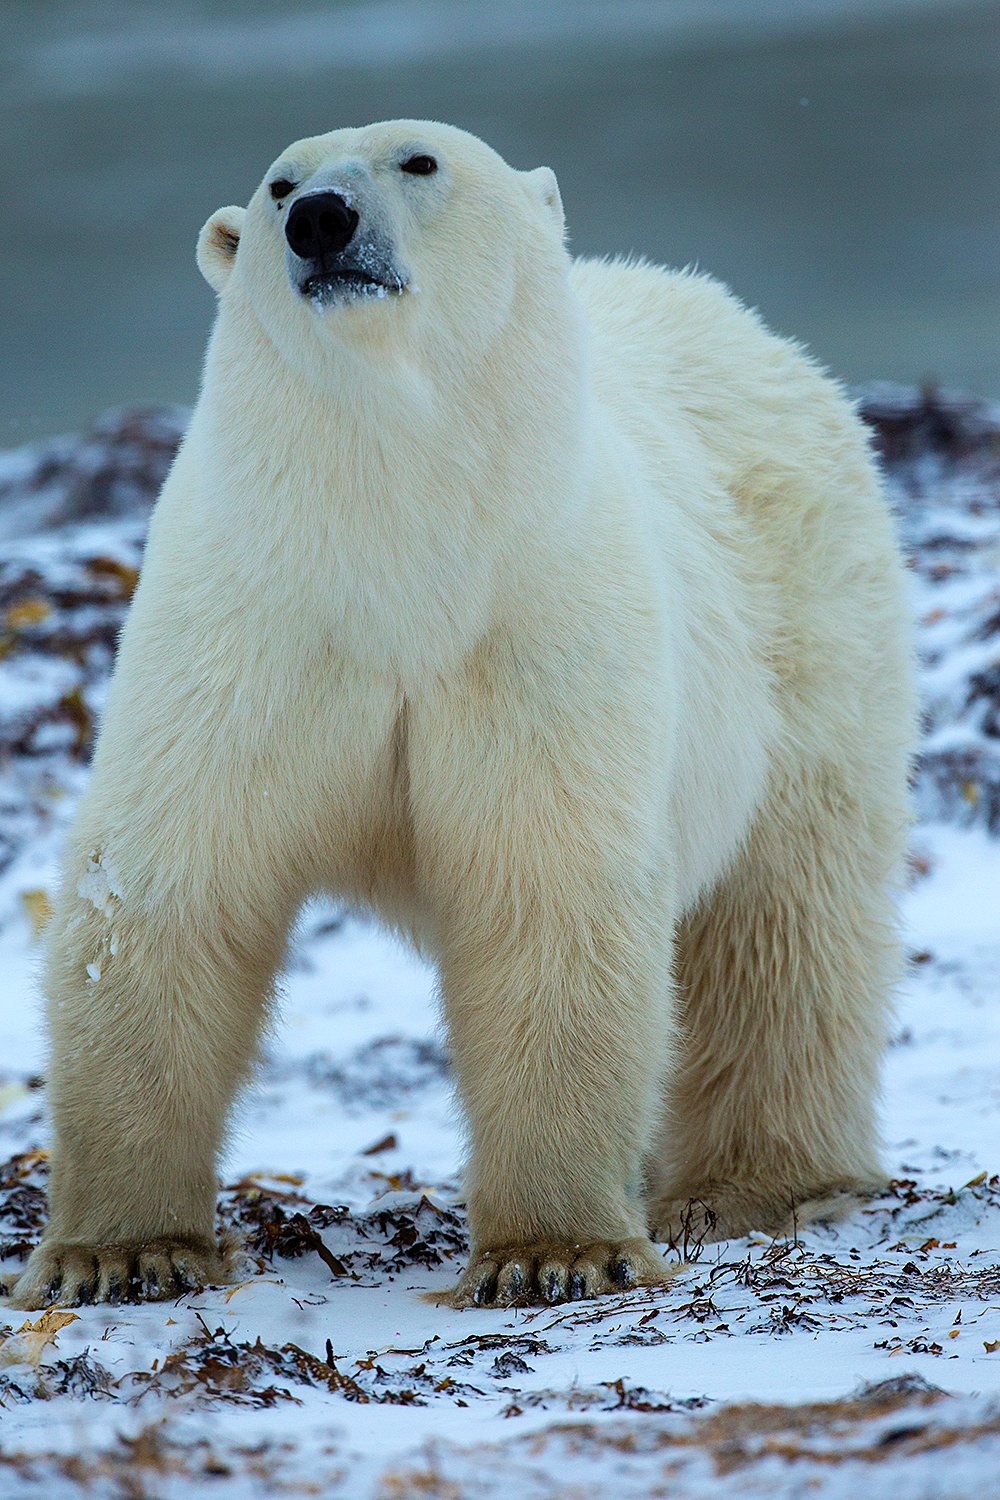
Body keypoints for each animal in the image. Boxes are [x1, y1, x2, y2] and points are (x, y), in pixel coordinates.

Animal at [9, 123, 917, 1308]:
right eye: (280, 184)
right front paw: (120, 1253)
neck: (402, 545)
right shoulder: (251, 622)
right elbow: (173, 884)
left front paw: (552, 1253)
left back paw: (751, 1186)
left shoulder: (536, 615)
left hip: (812, 632)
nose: (323, 222)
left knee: (786, 920)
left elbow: (546, 888)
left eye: (420, 160)